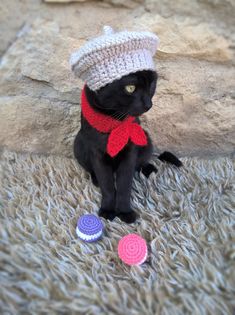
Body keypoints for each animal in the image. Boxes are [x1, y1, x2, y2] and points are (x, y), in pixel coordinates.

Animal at [74, 70, 183, 223]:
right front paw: (107, 210)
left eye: (152, 84)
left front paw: (124, 212)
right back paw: (95, 180)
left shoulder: (130, 153)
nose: (148, 104)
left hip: (146, 139)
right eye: (130, 88)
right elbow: (107, 184)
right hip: (78, 144)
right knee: (91, 170)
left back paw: (150, 169)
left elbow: (124, 184)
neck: (115, 121)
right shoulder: (97, 153)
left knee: (141, 163)